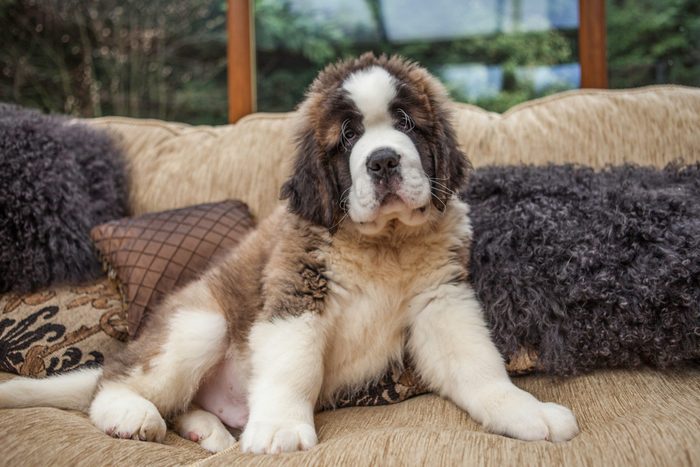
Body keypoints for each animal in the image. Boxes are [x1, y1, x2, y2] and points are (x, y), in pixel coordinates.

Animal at [0, 54, 580, 454]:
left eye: (406, 123)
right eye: (348, 136)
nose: (384, 161)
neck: (383, 244)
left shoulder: (442, 303)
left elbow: (479, 368)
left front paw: (524, 412)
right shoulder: (296, 292)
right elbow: (292, 366)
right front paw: (281, 429)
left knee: (179, 404)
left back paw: (208, 432)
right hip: (200, 324)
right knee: (114, 380)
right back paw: (131, 415)